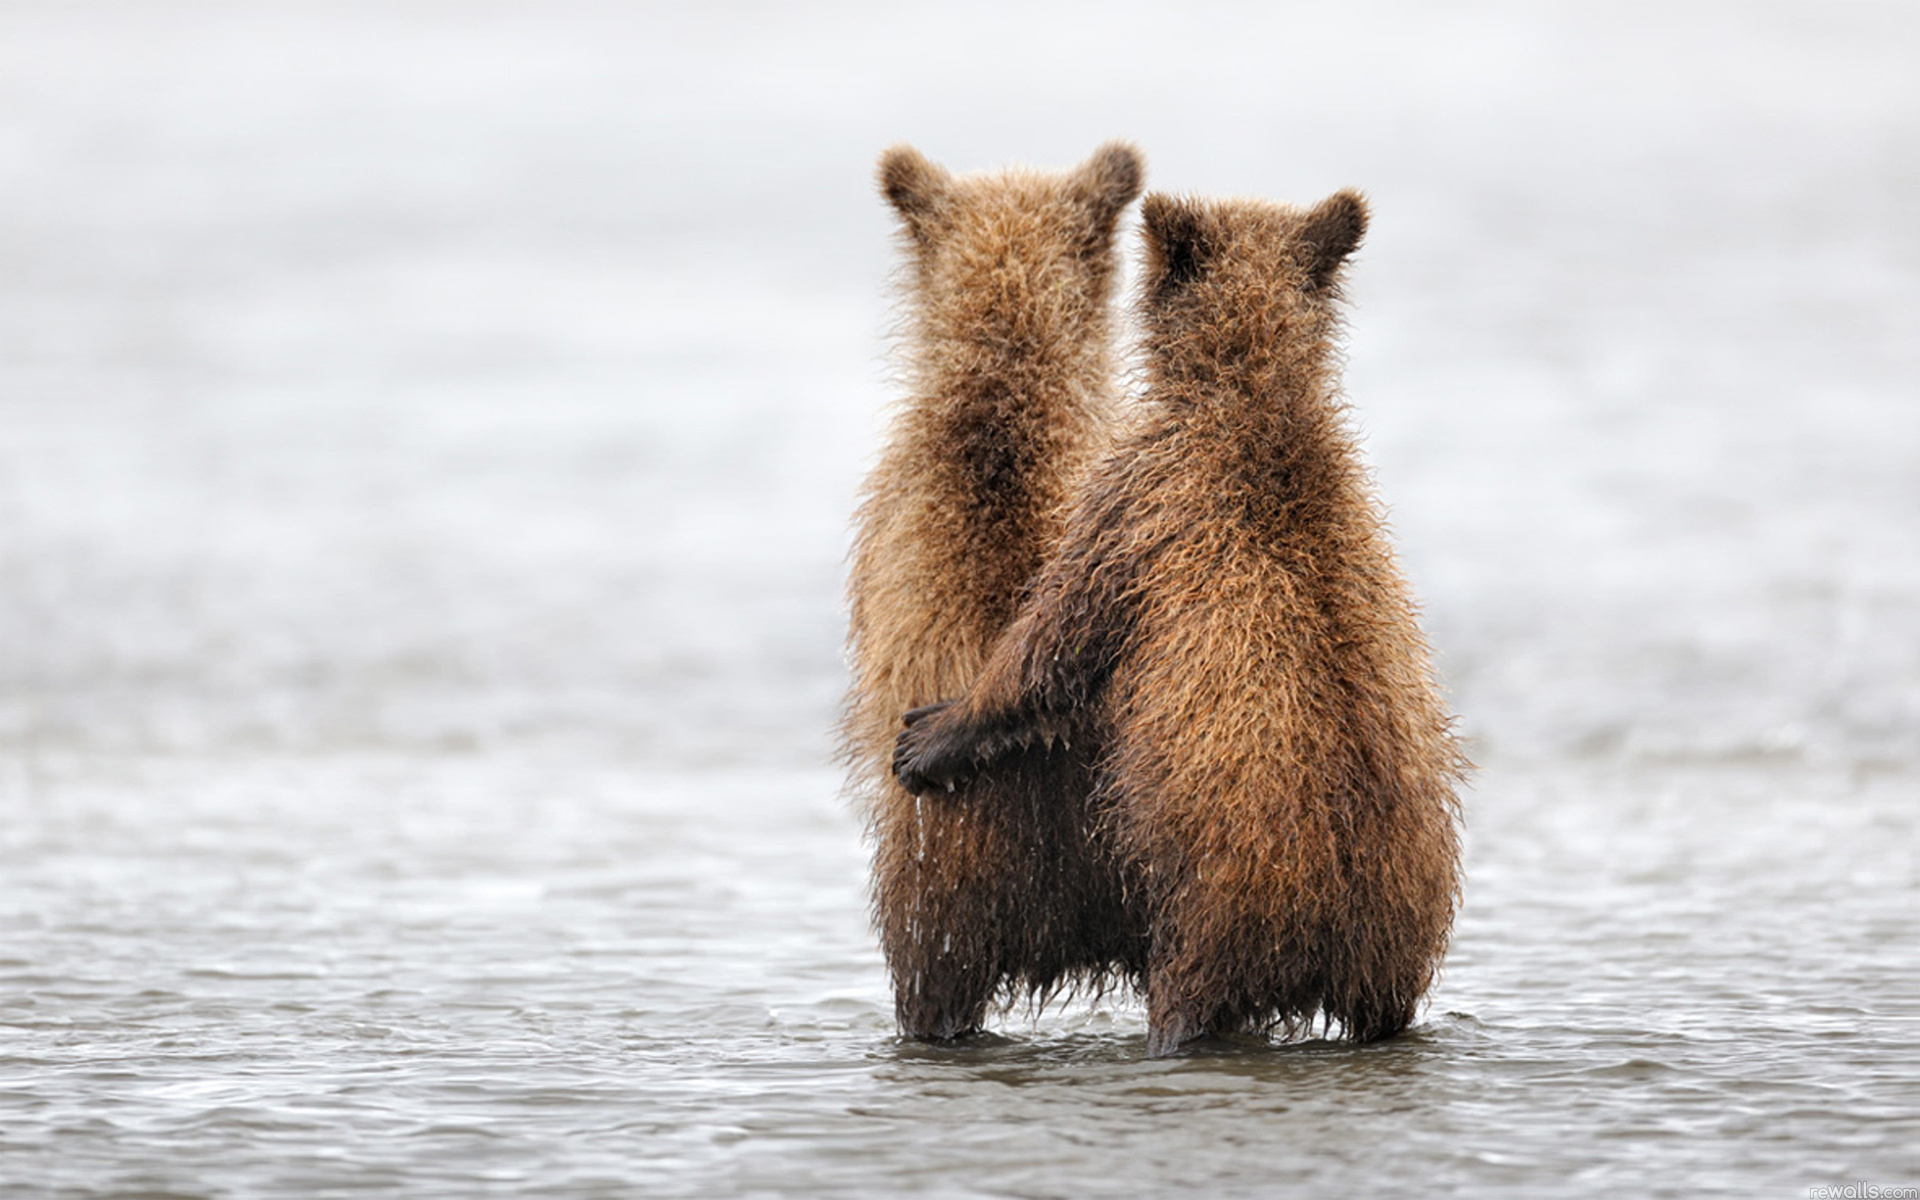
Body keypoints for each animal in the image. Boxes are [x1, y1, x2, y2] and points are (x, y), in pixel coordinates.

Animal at [893, 190, 1467, 1056]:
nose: (918, 739)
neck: (1251, 395)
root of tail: (1344, 915)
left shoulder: (1137, 501)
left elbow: (1055, 642)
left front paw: (931, 732)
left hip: (1216, 904)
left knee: (1186, 998)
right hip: (1397, 938)